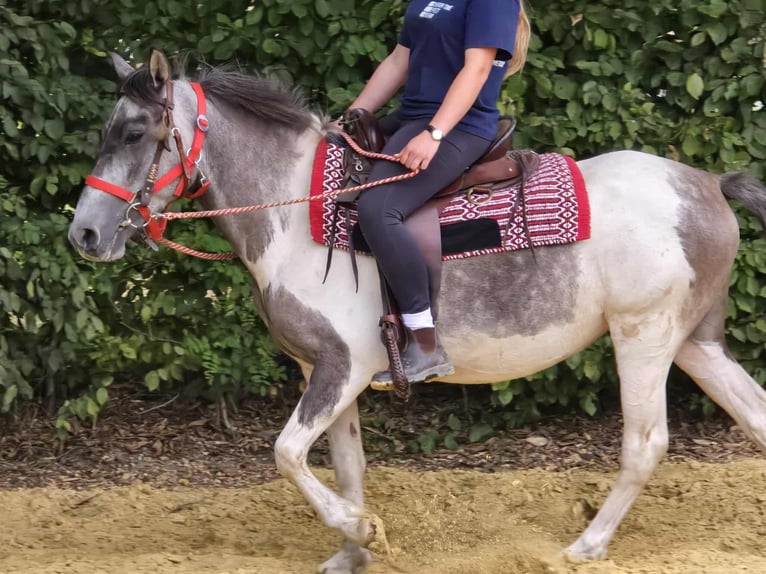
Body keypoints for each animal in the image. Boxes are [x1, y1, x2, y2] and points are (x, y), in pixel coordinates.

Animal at [69, 50, 766, 574]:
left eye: (134, 133)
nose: (85, 234)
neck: (299, 213)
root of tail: (707, 184)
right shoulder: (323, 370)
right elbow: (344, 462)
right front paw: (352, 552)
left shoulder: (343, 367)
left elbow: (287, 452)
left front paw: (363, 530)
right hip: (696, 341)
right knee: (754, 415)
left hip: (643, 334)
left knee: (645, 443)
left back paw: (586, 546)